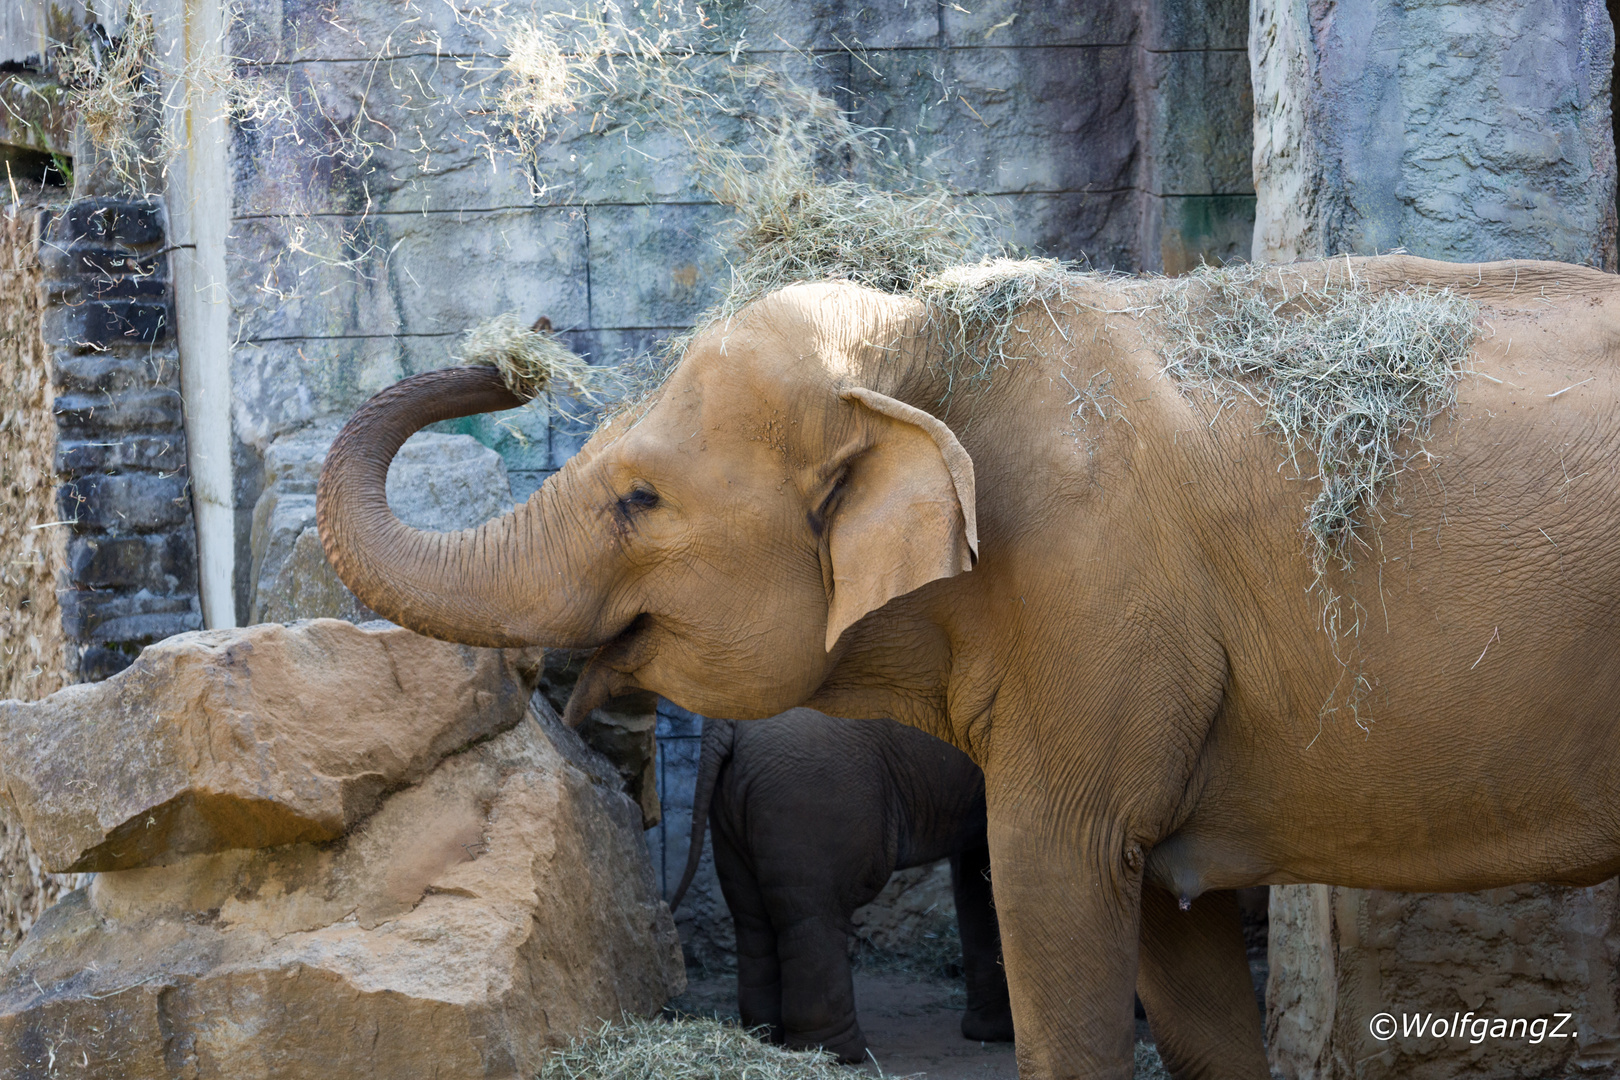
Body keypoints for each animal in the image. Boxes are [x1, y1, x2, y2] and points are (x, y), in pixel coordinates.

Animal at [670, 709, 1010, 1062]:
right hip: (815, 795)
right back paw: (836, 1053)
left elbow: (977, 869)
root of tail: (723, 725)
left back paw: (765, 1037)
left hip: (733, 803)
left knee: (751, 915)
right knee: (813, 914)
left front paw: (992, 1034)